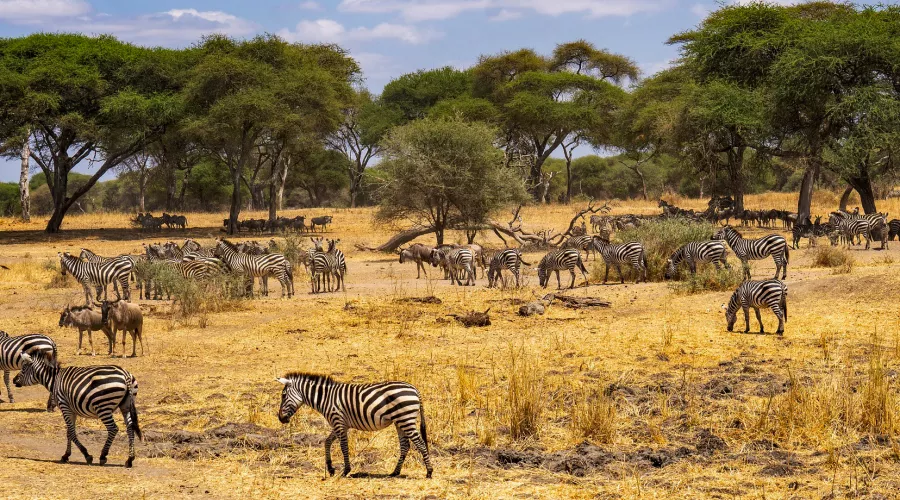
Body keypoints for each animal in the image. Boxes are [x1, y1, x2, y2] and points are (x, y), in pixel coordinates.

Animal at [12, 352, 142, 468]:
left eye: (23, 368)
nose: (13, 380)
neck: (54, 380)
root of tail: (125, 375)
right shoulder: (72, 410)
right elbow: (69, 432)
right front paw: (66, 455)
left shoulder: (65, 406)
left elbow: (71, 432)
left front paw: (86, 455)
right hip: (125, 405)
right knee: (130, 428)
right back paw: (130, 459)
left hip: (103, 407)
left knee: (113, 428)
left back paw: (103, 456)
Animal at [274, 374, 432, 478]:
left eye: (283, 395)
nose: (280, 418)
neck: (326, 398)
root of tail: (414, 389)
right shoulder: (340, 424)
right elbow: (327, 442)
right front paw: (330, 469)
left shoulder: (338, 421)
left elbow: (343, 446)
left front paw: (345, 471)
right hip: (400, 421)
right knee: (405, 445)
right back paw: (395, 472)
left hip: (406, 419)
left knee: (420, 443)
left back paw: (429, 472)